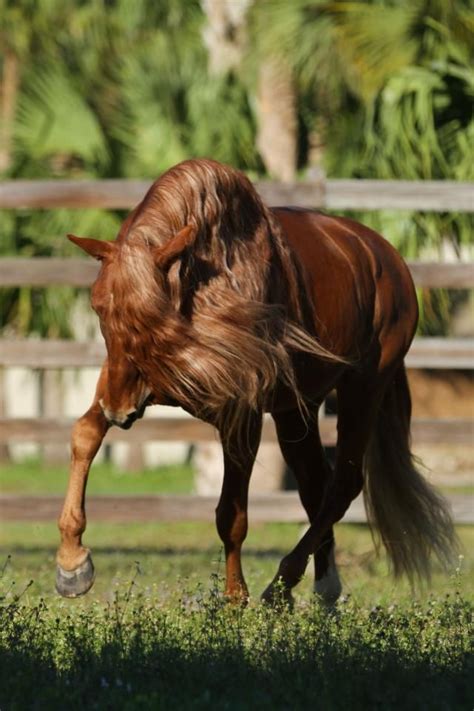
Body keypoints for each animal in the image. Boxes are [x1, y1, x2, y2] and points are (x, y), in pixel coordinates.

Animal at [56, 159, 460, 604]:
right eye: (99, 308)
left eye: (150, 314)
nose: (120, 410)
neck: (203, 282)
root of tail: (387, 258)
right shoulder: (148, 386)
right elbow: (85, 433)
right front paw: (72, 564)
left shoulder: (240, 416)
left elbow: (231, 514)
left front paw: (235, 599)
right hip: (297, 411)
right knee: (315, 488)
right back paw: (324, 588)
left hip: (363, 389)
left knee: (343, 485)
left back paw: (282, 586)